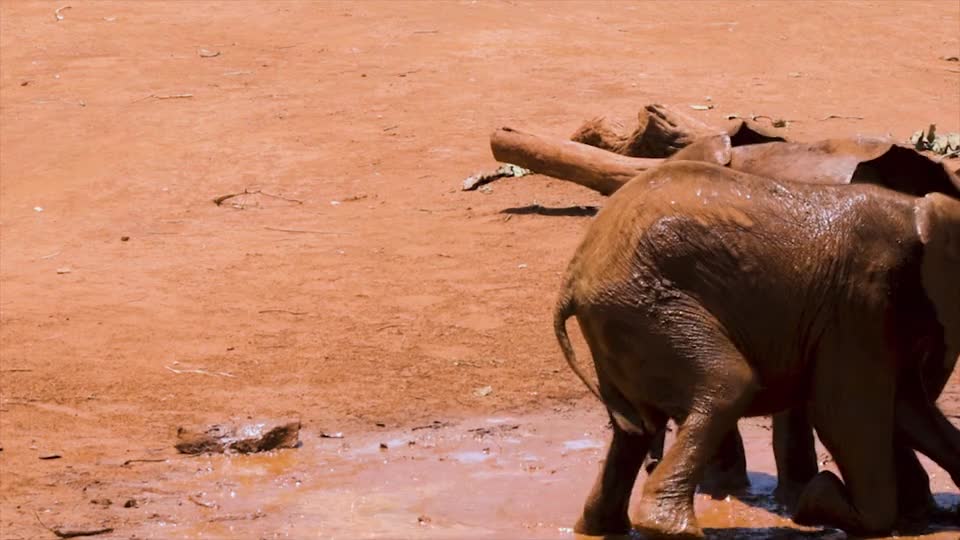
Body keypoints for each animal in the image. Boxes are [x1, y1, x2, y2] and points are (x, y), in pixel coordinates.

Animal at [553, 161, 960, 538]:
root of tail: (572, 276)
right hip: (648, 309)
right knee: (727, 386)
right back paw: (671, 528)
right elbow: (844, 413)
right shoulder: (859, 299)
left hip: (621, 323)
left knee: (634, 431)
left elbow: (909, 408)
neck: (921, 210)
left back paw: (601, 526)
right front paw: (818, 501)